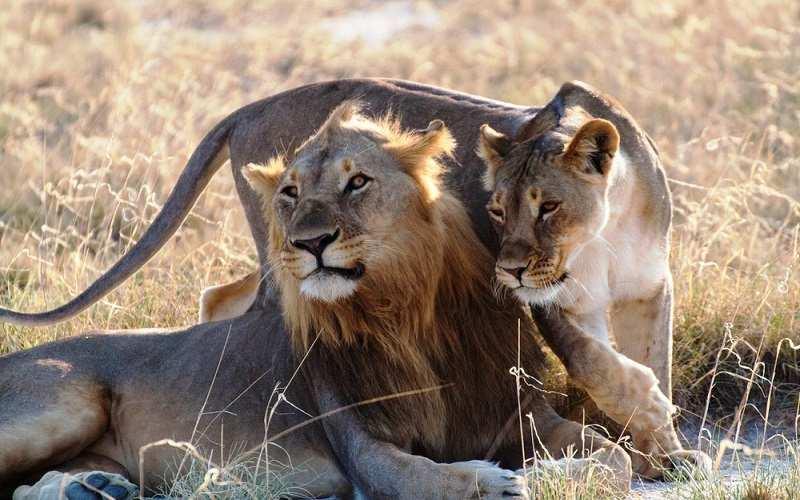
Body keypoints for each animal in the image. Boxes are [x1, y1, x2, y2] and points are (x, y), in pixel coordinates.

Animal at [3, 104, 636, 496]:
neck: (405, 314)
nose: (308, 242)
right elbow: (429, 479)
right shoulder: (362, 451)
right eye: (290, 192)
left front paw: (557, 474)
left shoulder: (521, 415)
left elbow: (618, 461)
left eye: (357, 182)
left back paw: (96, 487)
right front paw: (499, 482)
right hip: (67, 404)